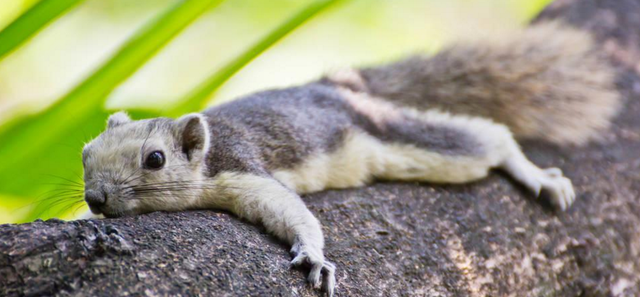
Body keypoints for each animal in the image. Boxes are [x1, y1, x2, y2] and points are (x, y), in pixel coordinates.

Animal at [80, 21, 620, 296]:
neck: (208, 156)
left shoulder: (243, 170)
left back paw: (538, 175)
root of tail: (342, 89)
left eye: (155, 159)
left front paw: (313, 256)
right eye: (84, 155)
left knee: (487, 140)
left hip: (401, 140)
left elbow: (292, 211)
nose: (95, 199)